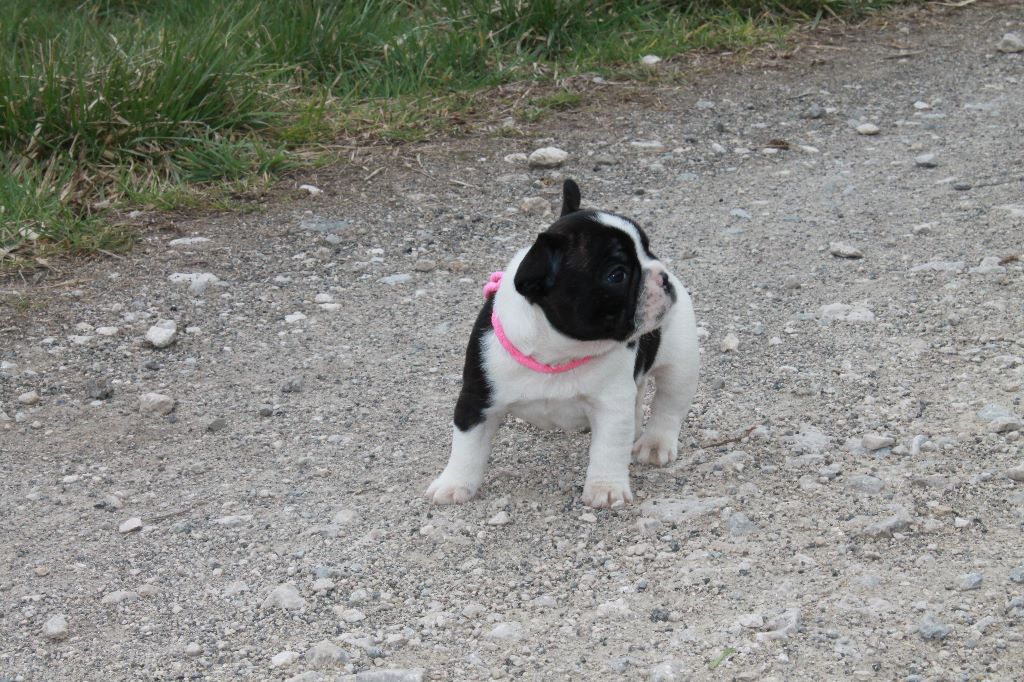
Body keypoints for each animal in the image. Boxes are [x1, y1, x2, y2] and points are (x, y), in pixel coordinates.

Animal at [426, 179, 699, 508]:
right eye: (617, 275)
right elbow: (467, 445)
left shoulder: (611, 404)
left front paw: (605, 489)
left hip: (681, 362)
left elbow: (608, 449)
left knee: (669, 404)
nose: (663, 276)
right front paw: (453, 484)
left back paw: (655, 444)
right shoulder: (477, 398)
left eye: (648, 249)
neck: (558, 353)